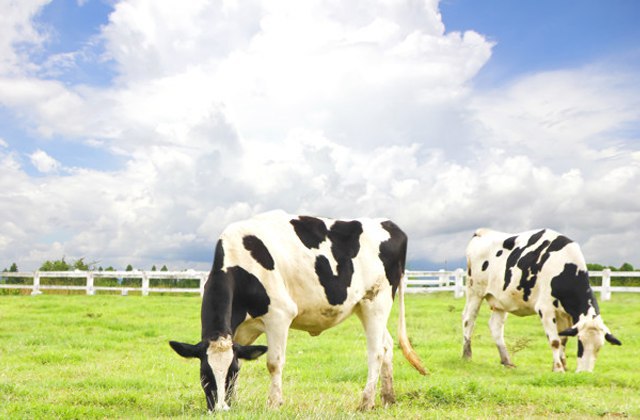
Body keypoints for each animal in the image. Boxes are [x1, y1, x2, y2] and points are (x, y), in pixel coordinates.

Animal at [169, 210, 426, 412]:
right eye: (204, 374)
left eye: (229, 372)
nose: (220, 409)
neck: (240, 262)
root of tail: (389, 224)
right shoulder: (240, 331)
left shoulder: (279, 315)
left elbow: (273, 362)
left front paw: (273, 404)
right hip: (363, 306)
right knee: (387, 344)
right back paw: (388, 398)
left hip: (377, 301)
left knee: (376, 351)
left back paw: (366, 402)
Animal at [462, 228, 621, 372]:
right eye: (580, 343)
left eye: (599, 348)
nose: (584, 373)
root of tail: (483, 232)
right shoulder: (545, 309)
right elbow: (555, 341)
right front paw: (558, 368)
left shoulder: (565, 314)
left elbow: (563, 339)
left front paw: (562, 364)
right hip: (475, 291)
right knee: (468, 320)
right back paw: (467, 355)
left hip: (500, 301)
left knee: (495, 327)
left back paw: (507, 361)